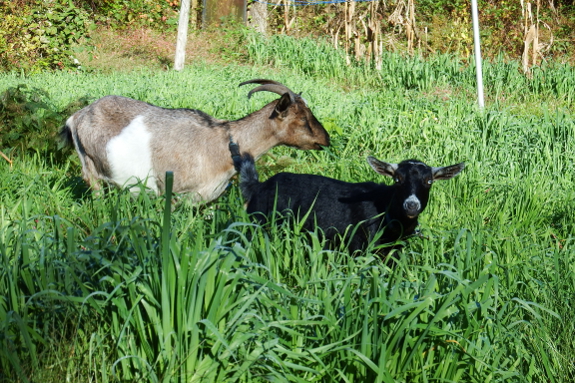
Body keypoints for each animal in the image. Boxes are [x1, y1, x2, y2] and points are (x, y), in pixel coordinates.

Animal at [60, 79, 330, 202]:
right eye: (302, 118)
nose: (326, 139)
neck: (225, 143)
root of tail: (77, 117)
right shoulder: (178, 192)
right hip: (91, 166)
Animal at [232, 146, 466, 254]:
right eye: (397, 179)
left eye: (429, 181)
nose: (411, 205)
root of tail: (258, 187)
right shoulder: (358, 248)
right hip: (257, 224)